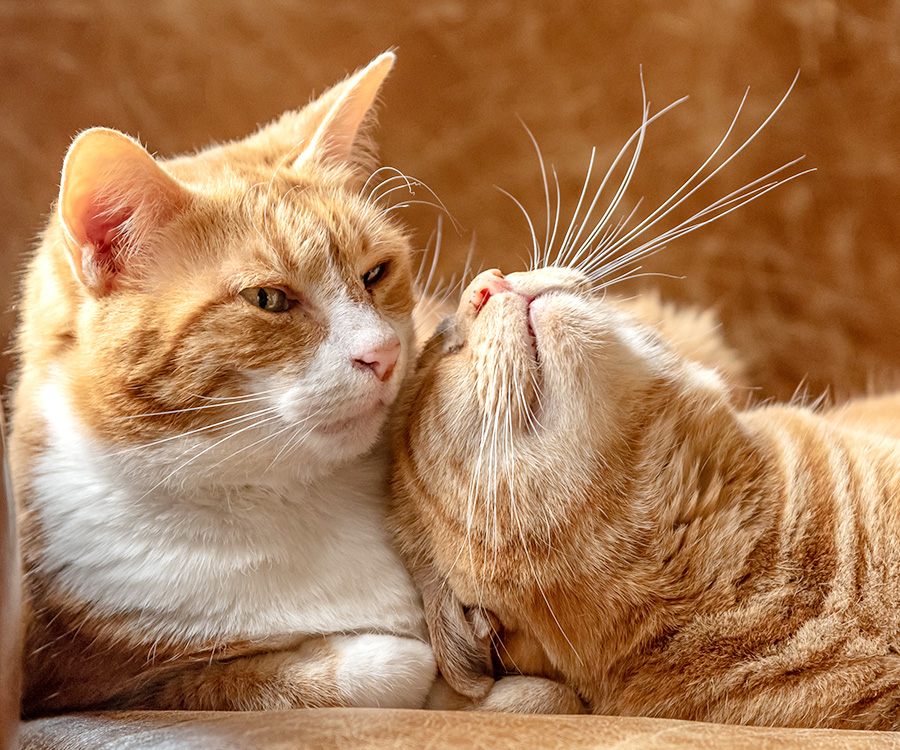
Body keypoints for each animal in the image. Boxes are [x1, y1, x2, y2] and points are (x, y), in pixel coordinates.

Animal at [12, 51, 438, 716]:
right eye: (268, 299)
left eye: (375, 273)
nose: (385, 354)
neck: (282, 495)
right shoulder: (104, 688)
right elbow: (338, 672)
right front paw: (399, 657)